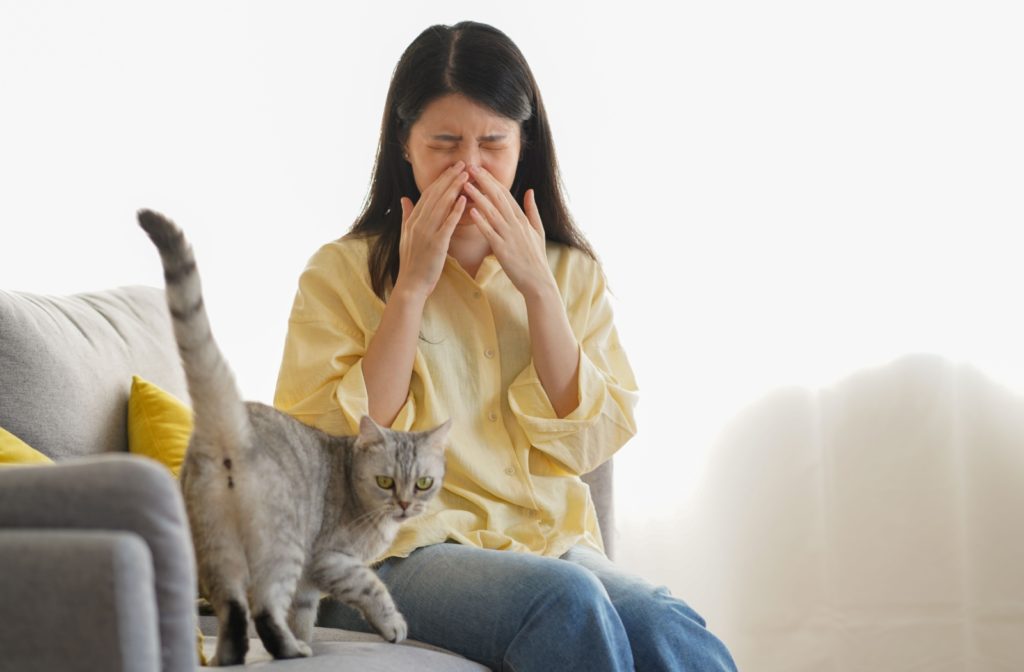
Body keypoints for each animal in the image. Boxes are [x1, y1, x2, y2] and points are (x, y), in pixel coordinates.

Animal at [136, 210, 448, 667]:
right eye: (386, 482)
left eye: (424, 483)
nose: (406, 505)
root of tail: (232, 424)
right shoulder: (328, 560)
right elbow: (372, 588)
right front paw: (392, 626)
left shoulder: (307, 581)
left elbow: (302, 613)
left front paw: (308, 639)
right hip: (281, 547)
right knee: (264, 611)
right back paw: (290, 651)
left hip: (216, 549)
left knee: (234, 615)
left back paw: (236, 656)